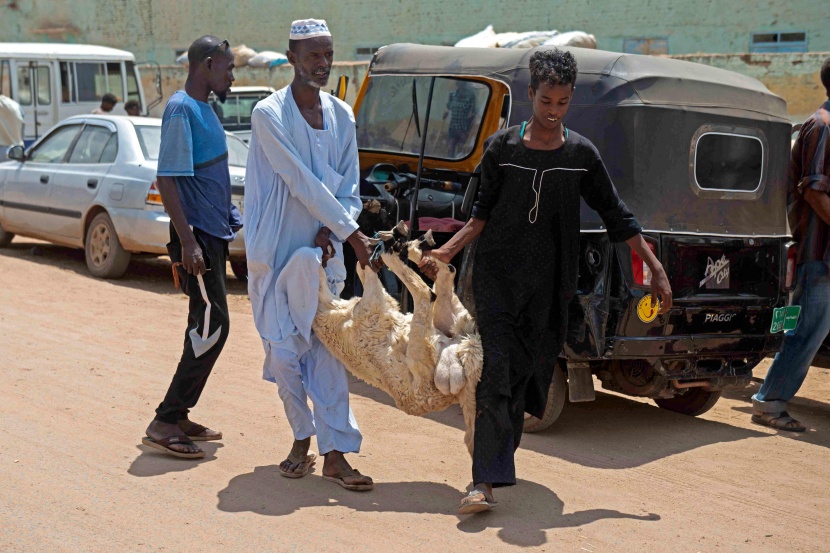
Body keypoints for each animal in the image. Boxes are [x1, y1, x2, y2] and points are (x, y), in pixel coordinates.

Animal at [312, 222, 484, 454]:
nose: (322, 238)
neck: (326, 312)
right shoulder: (373, 305)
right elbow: (368, 275)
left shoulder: (376, 302)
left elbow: (361, 268)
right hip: (425, 344)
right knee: (426, 292)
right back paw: (402, 249)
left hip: (450, 325)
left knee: (442, 281)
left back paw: (410, 246)